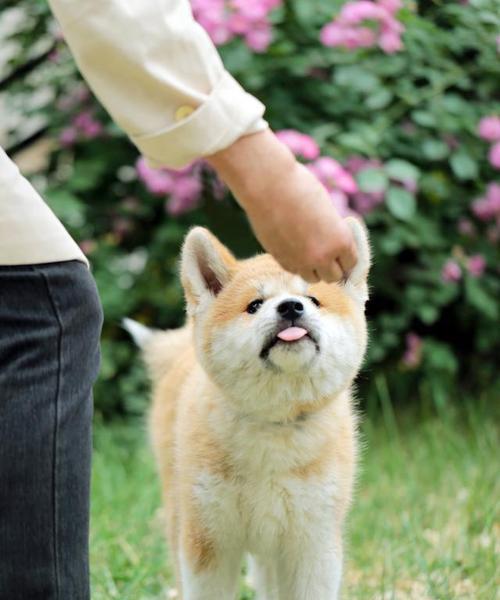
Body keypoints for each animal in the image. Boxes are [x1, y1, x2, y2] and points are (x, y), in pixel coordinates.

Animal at [123, 220, 370, 600]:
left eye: (313, 299)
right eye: (254, 305)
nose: (291, 307)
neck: (273, 425)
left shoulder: (312, 544)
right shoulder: (209, 540)